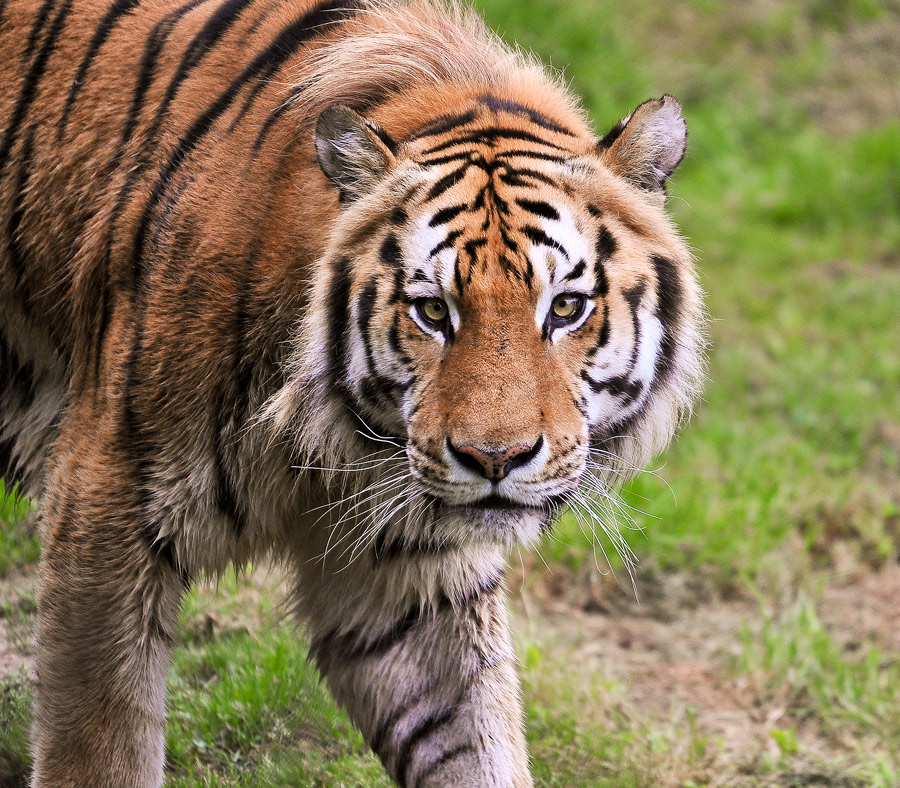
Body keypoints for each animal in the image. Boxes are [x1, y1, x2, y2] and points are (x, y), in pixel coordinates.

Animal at [0, 0, 708, 784]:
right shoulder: (105, 510)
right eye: (432, 310)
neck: (330, 441)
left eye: (566, 308)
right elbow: (100, 742)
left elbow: (476, 743)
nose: (495, 460)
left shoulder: (412, 582)